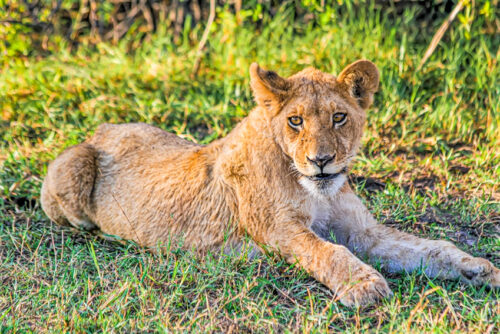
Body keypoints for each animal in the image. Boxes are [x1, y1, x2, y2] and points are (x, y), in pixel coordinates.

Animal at [41, 60, 498, 308]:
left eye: (339, 117)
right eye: (295, 121)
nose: (320, 161)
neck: (313, 190)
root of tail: (102, 128)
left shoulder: (363, 232)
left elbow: (426, 248)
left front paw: (476, 268)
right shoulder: (279, 228)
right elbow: (327, 251)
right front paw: (364, 286)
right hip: (72, 169)